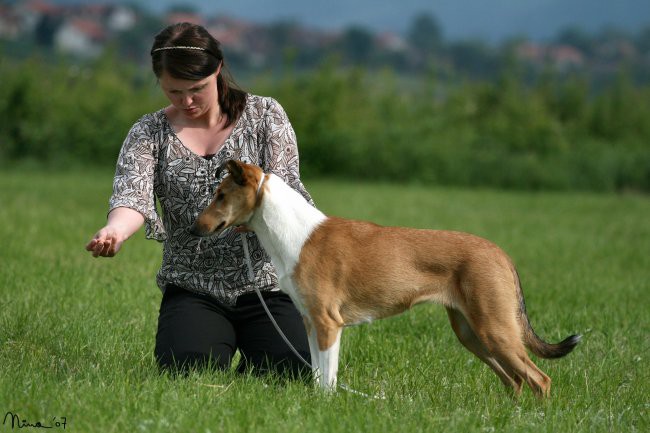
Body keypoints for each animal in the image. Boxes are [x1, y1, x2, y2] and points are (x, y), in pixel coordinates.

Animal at [190, 160, 580, 396]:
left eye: (221, 195)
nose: (195, 228)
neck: (296, 235)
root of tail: (501, 253)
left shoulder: (328, 323)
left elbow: (327, 377)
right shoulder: (311, 322)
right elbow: (317, 374)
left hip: (495, 329)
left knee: (539, 379)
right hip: (472, 333)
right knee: (514, 381)